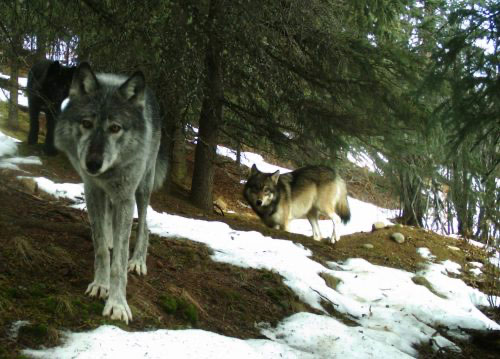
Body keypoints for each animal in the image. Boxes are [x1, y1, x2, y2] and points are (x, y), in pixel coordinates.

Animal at [54, 63, 168, 324]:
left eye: (115, 128)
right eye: (86, 123)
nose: (93, 164)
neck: (109, 173)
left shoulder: (125, 197)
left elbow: (119, 262)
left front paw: (117, 304)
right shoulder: (93, 190)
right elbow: (100, 248)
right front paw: (100, 284)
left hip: (142, 189)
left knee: (144, 225)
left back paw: (138, 261)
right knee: (109, 228)